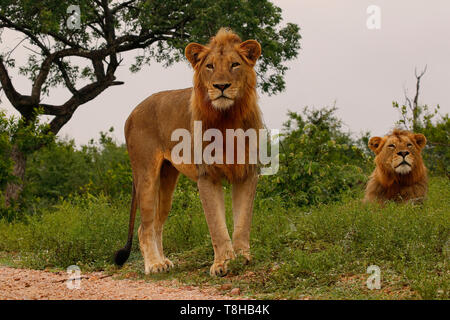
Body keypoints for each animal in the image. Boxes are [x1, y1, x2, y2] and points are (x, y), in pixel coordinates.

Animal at [114, 28, 266, 276]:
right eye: (210, 66)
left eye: (234, 64)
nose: (221, 86)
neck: (227, 118)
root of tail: (133, 112)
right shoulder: (207, 176)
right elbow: (217, 226)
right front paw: (222, 264)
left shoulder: (247, 172)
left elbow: (243, 222)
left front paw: (243, 258)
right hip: (145, 175)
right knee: (144, 228)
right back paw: (153, 265)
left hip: (167, 180)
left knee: (157, 224)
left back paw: (164, 262)